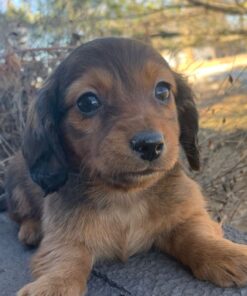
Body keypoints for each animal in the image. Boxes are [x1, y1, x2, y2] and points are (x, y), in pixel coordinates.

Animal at [5, 37, 247, 296]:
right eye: (87, 102)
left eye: (162, 90)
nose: (150, 145)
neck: (127, 196)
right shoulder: (63, 238)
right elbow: (65, 259)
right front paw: (53, 285)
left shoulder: (187, 213)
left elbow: (197, 234)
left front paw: (229, 254)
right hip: (16, 186)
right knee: (19, 214)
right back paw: (31, 229)